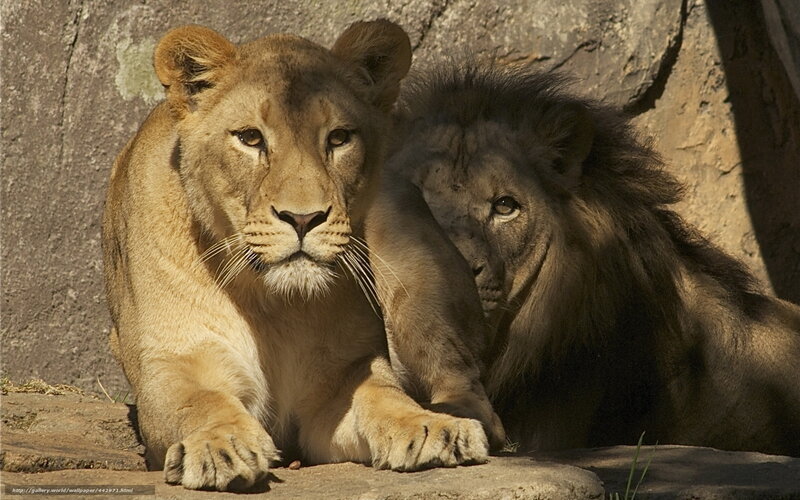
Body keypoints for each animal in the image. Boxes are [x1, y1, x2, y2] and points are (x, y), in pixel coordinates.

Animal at [102, 22, 495, 492]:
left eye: (339, 138)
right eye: (250, 138)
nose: (303, 218)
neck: (271, 304)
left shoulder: (344, 375)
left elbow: (385, 397)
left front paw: (428, 427)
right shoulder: (170, 363)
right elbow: (201, 401)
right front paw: (221, 446)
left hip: (420, 275)